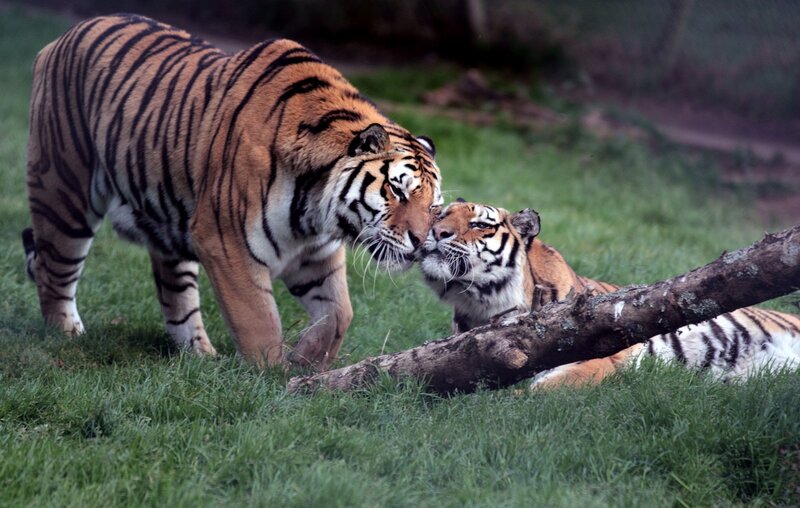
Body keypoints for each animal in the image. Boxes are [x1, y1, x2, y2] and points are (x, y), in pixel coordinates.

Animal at [22, 14, 442, 370]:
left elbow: (339, 314)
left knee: (177, 297)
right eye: (397, 191)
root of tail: (62, 38)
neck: (316, 209)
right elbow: (259, 321)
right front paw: (273, 379)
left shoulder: (316, 253)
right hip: (63, 191)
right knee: (52, 271)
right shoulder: (226, 240)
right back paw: (67, 336)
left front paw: (307, 362)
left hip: (167, 224)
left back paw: (200, 356)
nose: (420, 243)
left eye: (434, 208)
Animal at [418, 200, 800, 387]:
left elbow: (540, 392)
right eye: (440, 213)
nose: (436, 232)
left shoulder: (598, 360)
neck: (481, 307)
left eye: (479, 224)